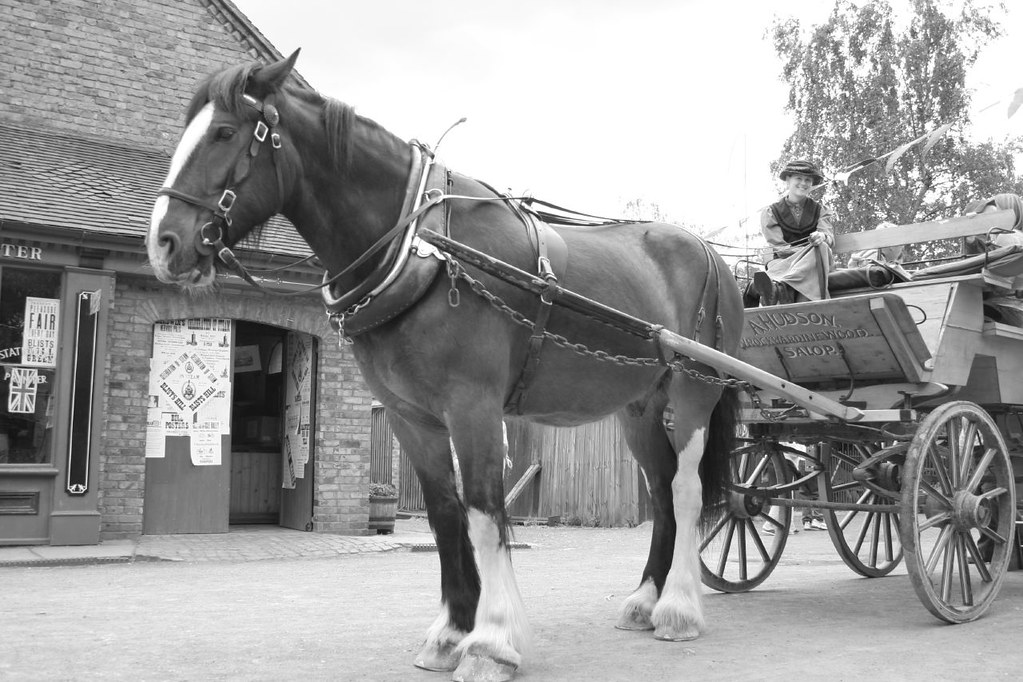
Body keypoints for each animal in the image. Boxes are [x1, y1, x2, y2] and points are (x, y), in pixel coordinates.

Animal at [147, 51, 743, 682]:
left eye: (225, 132)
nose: (162, 244)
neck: (426, 249)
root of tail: (712, 254)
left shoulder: (473, 407)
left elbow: (483, 512)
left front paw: (493, 641)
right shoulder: (411, 418)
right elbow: (443, 514)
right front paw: (453, 630)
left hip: (694, 391)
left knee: (685, 490)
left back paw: (678, 608)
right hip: (639, 408)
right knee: (660, 495)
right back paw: (646, 599)